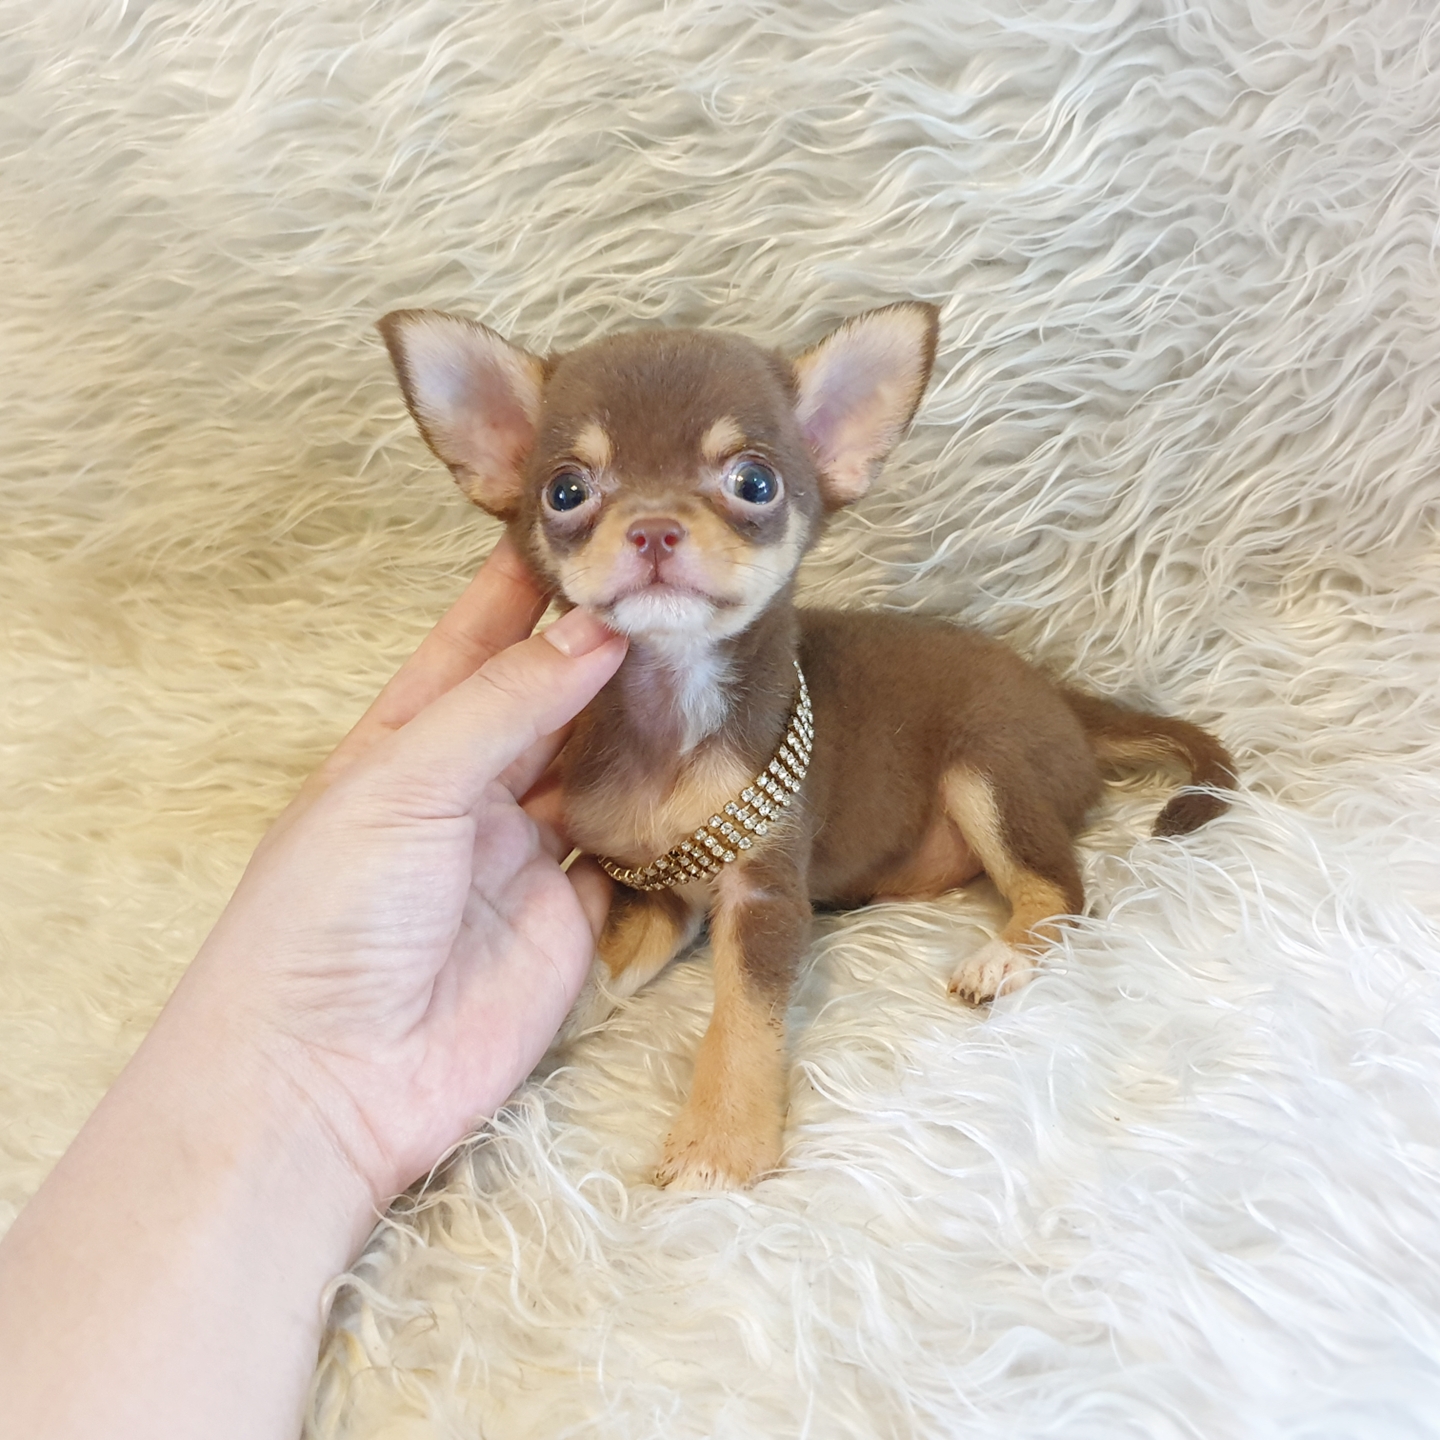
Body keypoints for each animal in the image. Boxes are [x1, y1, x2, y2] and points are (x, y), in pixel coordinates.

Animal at [378, 302, 1237, 1191]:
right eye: (566, 491)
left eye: (754, 483)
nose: (653, 529)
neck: (674, 712)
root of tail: (1061, 697)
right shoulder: (653, 890)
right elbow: (597, 973)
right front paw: (537, 1050)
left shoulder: (765, 895)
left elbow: (742, 1018)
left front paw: (720, 1142)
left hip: (987, 769)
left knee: (1060, 888)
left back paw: (1003, 959)